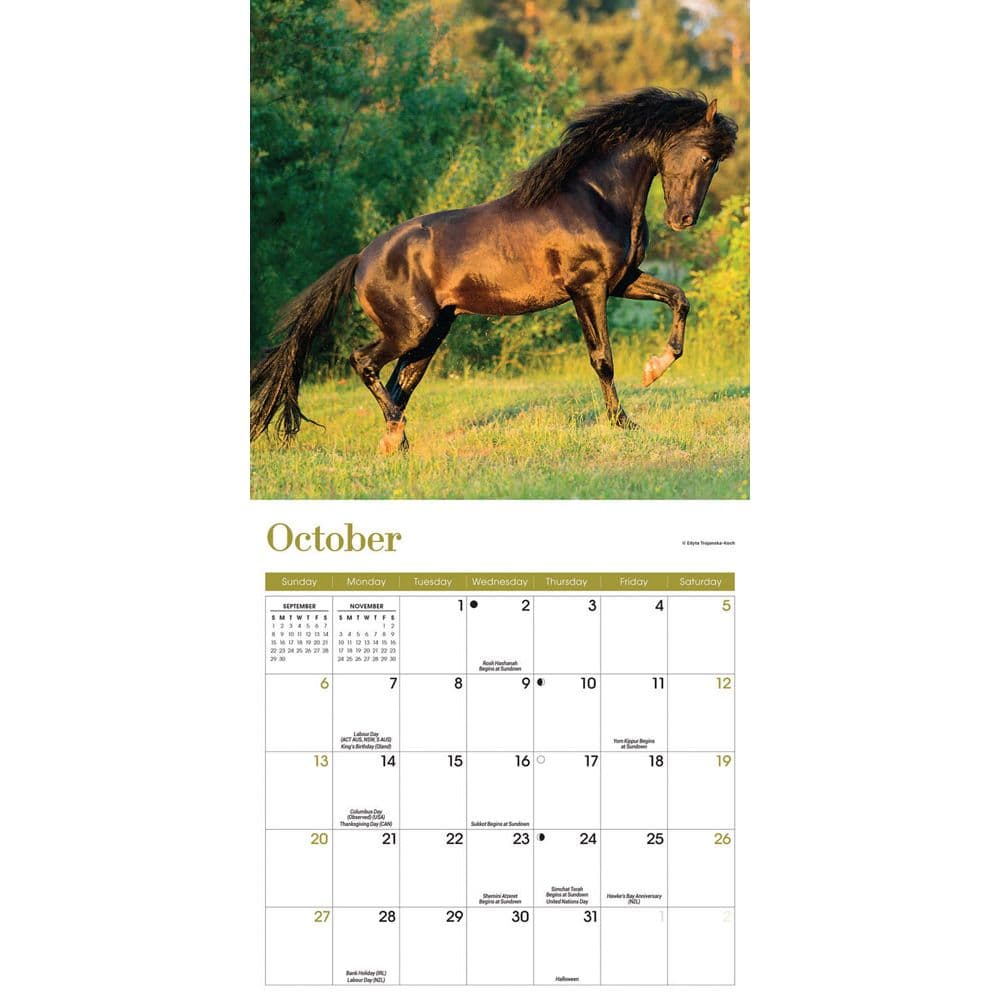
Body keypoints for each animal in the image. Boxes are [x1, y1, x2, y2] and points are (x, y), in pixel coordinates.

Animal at [250, 88, 737, 454]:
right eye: (704, 157)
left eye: (715, 163)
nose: (683, 219)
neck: (598, 198)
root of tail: (361, 259)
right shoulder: (588, 288)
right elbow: (603, 360)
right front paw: (623, 422)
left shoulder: (621, 282)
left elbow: (679, 299)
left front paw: (655, 368)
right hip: (411, 328)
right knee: (364, 362)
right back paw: (396, 434)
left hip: (432, 332)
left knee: (400, 380)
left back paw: (396, 441)